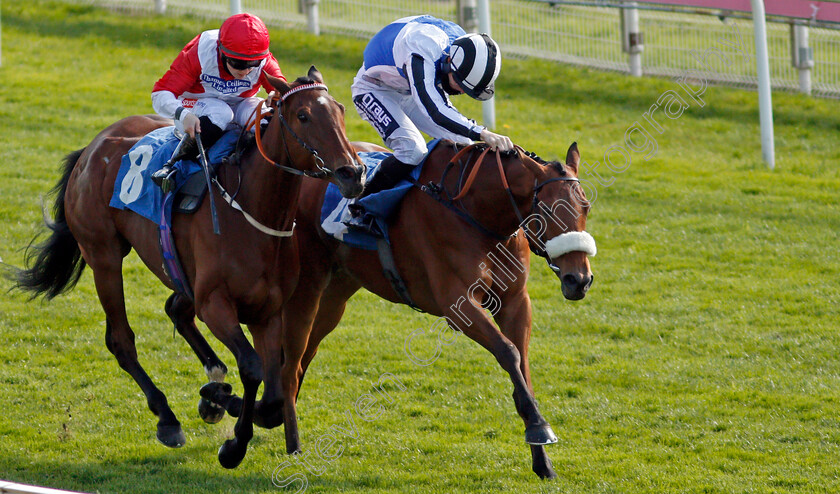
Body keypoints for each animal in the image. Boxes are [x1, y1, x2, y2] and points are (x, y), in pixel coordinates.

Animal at [13, 67, 364, 468]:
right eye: (303, 116)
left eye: (340, 110)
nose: (353, 172)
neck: (253, 211)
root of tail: (93, 146)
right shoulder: (216, 303)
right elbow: (252, 367)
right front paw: (232, 441)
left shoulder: (268, 311)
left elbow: (275, 398)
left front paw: (219, 400)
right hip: (103, 255)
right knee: (121, 339)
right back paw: (167, 418)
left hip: (180, 273)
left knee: (176, 310)